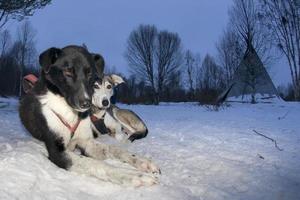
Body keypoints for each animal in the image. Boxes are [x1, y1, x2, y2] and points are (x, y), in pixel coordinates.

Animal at [18, 46, 159, 187]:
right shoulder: (57, 151)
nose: (86, 103)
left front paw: (142, 162)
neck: (69, 112)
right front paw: (131, 175)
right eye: (68, 71)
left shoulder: (86, 141)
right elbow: (97, 164)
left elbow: (114, 149)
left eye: (90, 73)